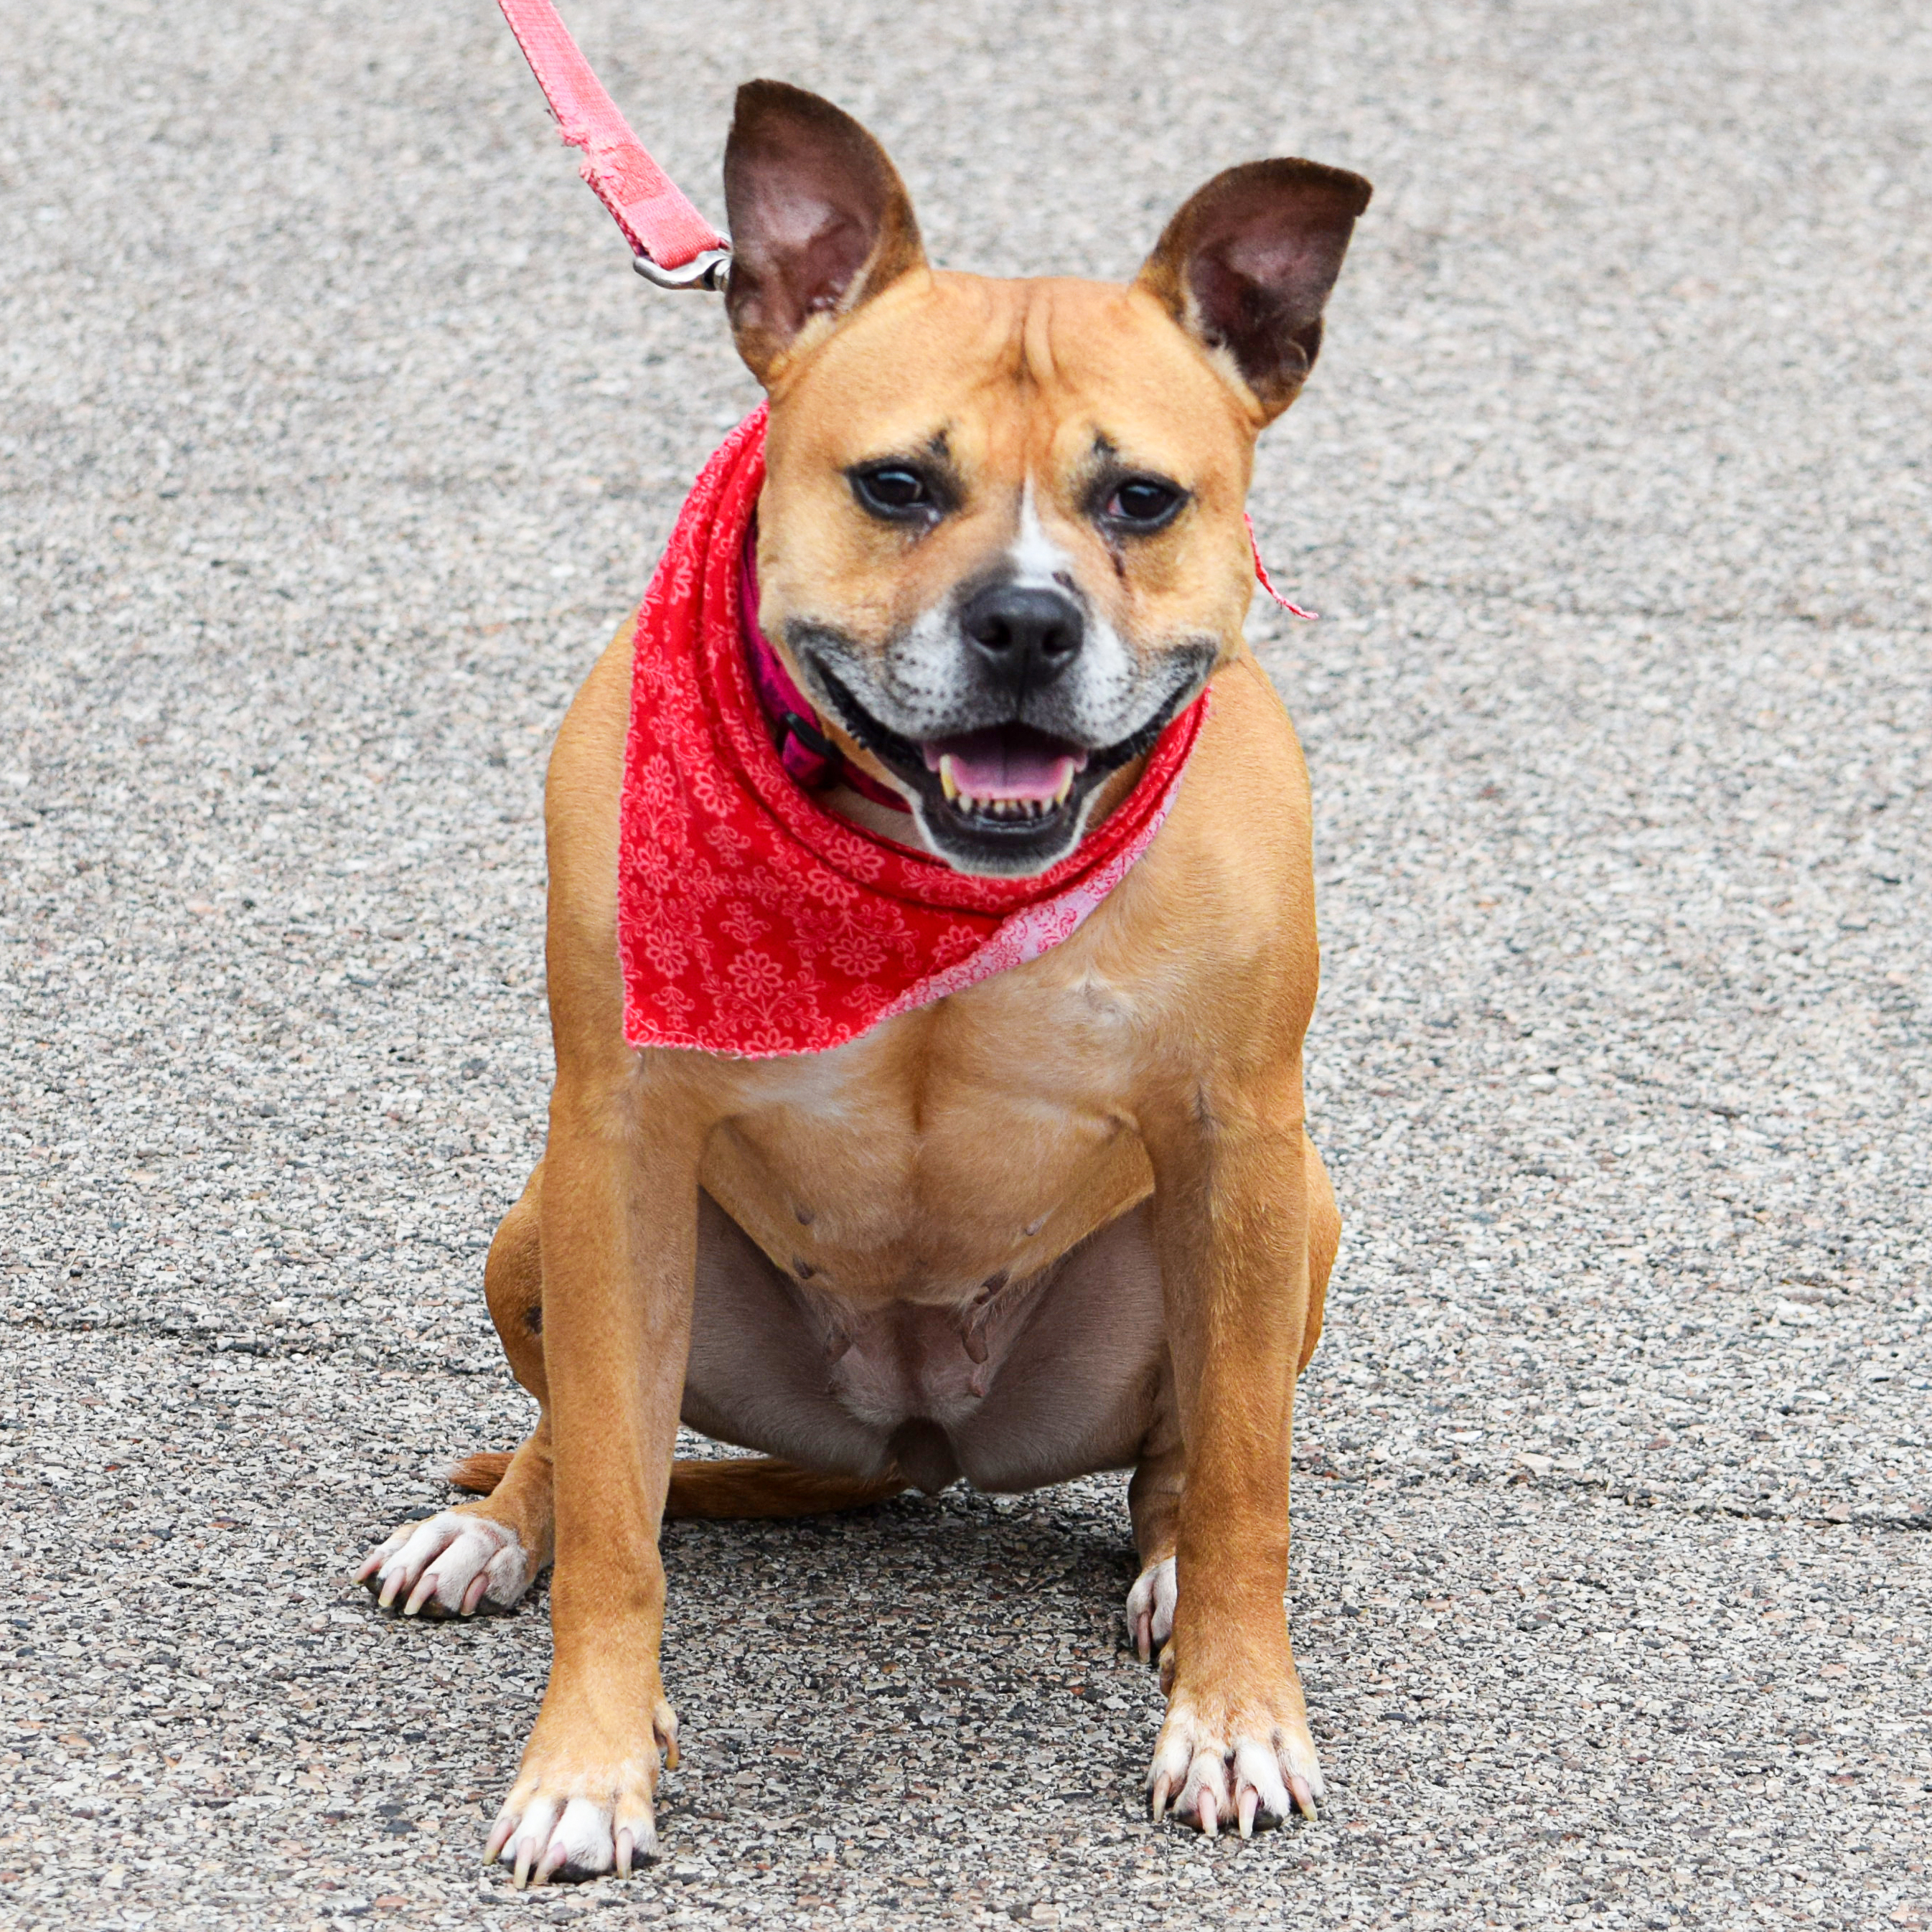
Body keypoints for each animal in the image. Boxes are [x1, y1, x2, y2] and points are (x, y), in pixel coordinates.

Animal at [355, 83, 1367, 1877]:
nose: (1024, 623)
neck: (923, 873)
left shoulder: (1238, 1138)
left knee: (1184, 1456)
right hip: (543, 1223)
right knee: (575, 1435)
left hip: (1279, 1222)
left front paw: (1239, 1714)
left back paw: (1171, 1565)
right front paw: (588, 1758)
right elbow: (617, 1504)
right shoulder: (619, 1139)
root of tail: (916, 1436)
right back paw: (491, 1528)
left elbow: (1253, 1472)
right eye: (895, 485)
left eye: (1141, 502)